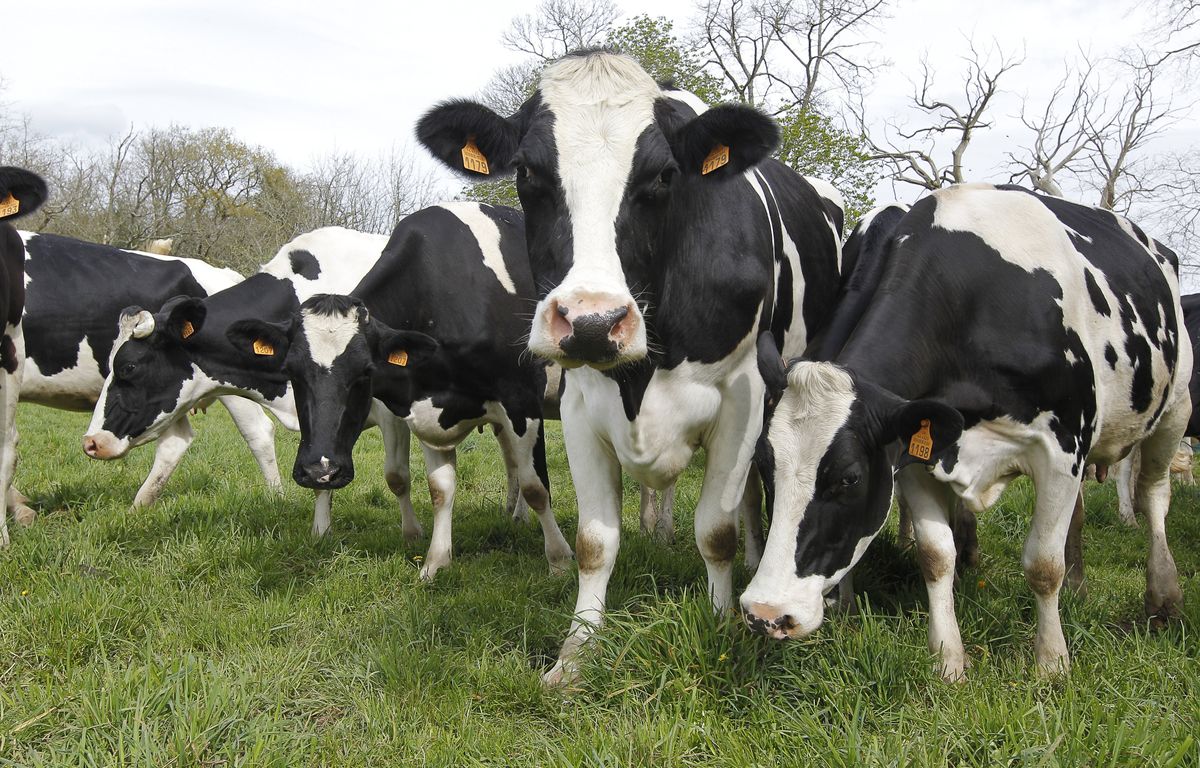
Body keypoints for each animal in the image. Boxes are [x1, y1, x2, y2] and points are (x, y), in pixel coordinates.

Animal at [225, 203, 573, 579]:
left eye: (366, 371)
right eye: (291, 370)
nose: (321, 470)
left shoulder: (521, 401)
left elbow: (536, 486)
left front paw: (560, 561)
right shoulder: (424, 408)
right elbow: (440, 489)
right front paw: (435, 563)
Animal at [416, 50, 844, 684]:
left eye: (664, 176)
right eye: (527, 173)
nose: (592, 321)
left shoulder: (743, 393)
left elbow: (715, 529)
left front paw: (721, 622)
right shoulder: (577, 404)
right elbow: (594, 542)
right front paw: (575, 654)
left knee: (747, 497)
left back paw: (751, 554)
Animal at [742, 183, 1189, 682]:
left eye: (849, 478)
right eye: (764, 465)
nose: (765, 613)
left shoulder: (1061, 449)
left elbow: (1042, 563)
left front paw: (1051, 663)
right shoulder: (914, 453)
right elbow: (936, 555)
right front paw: (948, 658)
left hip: (1175, 406)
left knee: (1154, 493)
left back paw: (1162, 598)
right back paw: (1078, 586)